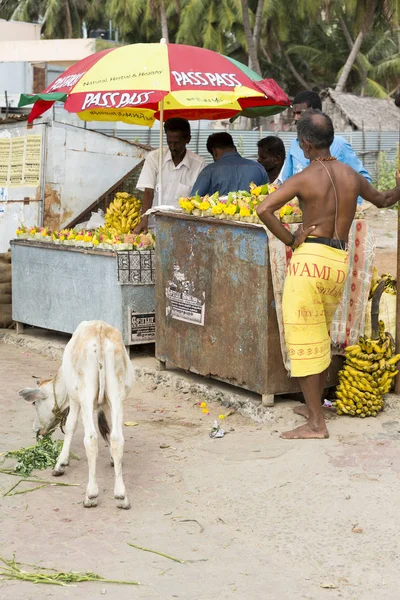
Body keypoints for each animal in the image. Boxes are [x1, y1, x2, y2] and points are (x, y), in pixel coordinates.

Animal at [19, 322, 134, 508]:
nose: (36, 429)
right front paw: (111, 458)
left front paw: (61, 464)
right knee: (117, 438)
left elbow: (70, 426)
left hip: (85, 393)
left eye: (35, 404)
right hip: (117, 393)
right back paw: (121, 496)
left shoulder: (74, 399)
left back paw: (91, 495)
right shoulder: (107, 404)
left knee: (91, 439)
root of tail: (100, 331)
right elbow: (109, 429)